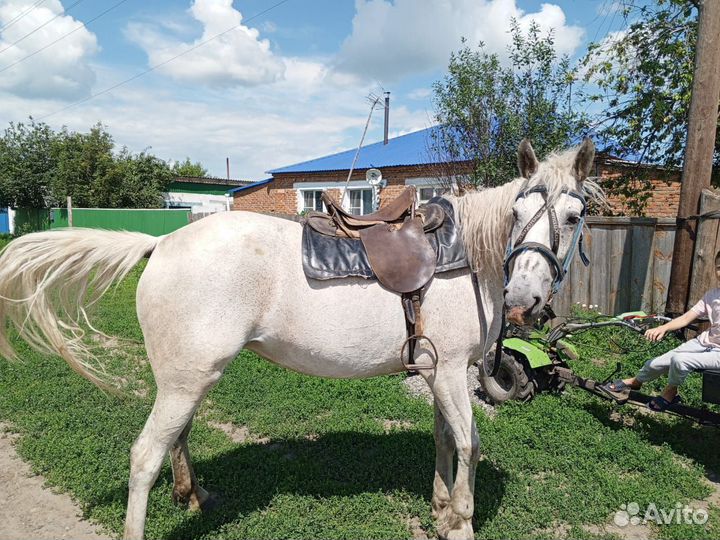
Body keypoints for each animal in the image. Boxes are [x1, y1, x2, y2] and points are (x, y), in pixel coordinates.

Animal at [0, 138, 600, 540]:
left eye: (574, 216)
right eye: (518, 211)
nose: (524, 298)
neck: (467, 256)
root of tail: (162, 245)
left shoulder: (436, 372)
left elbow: (444, 441)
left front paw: (438, 507)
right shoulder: (452, 371)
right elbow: (470, 443)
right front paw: (460, 522)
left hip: (188, 377)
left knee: (177, 437)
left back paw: (194, 495)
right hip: (185, 379)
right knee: (145, 455)